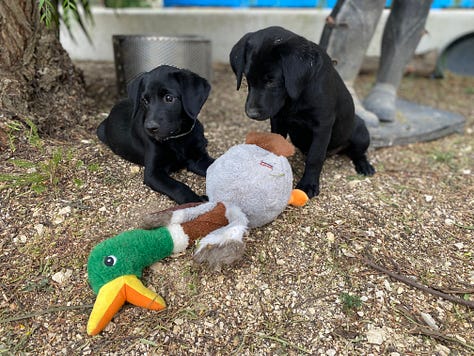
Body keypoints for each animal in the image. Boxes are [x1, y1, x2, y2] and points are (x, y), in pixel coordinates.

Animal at [96, 64, 213, 203]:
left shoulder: (199, 158)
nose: (150, 127)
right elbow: (178, 187)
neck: (177, 138)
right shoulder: (153, 173)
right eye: (145, 100)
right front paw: (196, 201)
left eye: (169, 98)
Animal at [230, 25, 374, 197]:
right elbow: (276, 143)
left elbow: (315, 157)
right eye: (247, 78)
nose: (251, 113)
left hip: (361, 132)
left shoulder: (323, 126)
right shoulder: (278, 120)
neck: (296, 95)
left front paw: (308, 184)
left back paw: (364, 166)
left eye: (272, 81)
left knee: (357, 153)